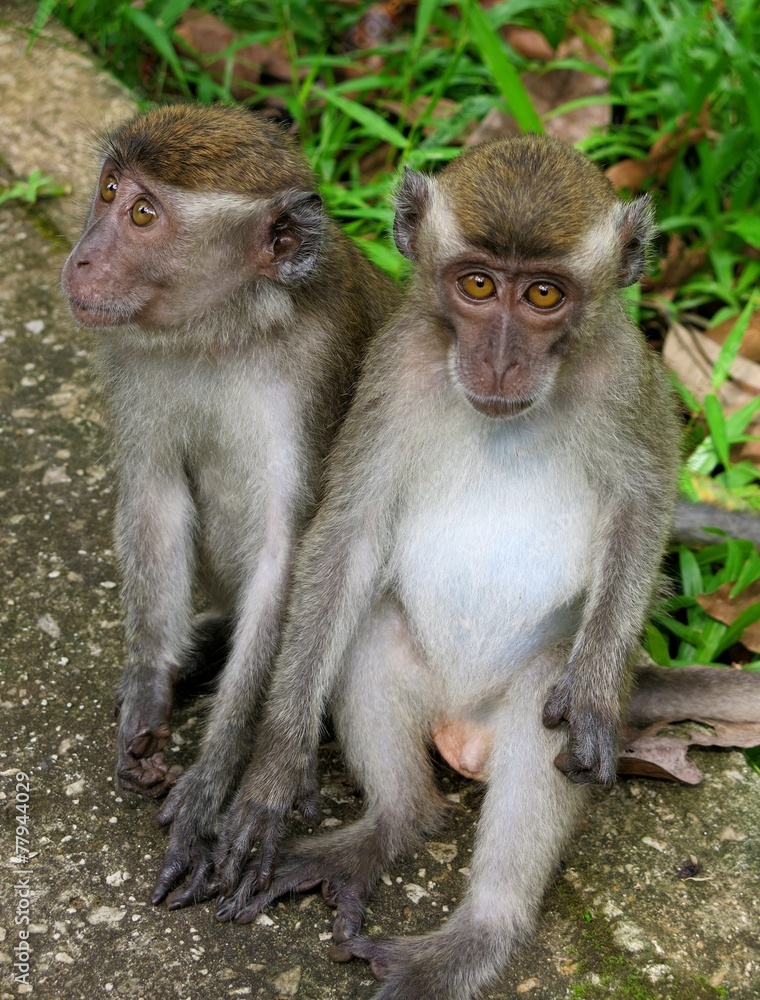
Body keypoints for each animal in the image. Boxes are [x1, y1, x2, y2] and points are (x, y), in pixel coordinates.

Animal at [60, 103, 400, 911]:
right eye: (109, 188)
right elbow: (155, 497)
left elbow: (290, 552)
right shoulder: (133, 351)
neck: (225, 328)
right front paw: (148, 694)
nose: (82, 260)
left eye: (144, 214)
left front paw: (216, 780)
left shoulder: (313, 372)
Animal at [197, 132, 688, 1000]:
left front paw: (596, 684)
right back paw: (388, 825)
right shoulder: (395, 366)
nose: (499, 359)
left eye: (544, 296)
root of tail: (460, 724)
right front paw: (276, 770)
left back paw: (476, 936)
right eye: (478, 285)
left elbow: (643, 507)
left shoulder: (628, 376)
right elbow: (347, 535)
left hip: (514, 700)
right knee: (362, 628)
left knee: (541, 705)